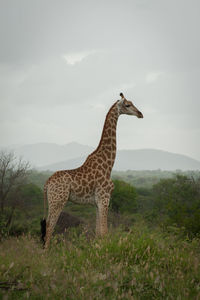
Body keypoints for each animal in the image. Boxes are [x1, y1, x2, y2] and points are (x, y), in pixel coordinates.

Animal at [41, 93, 143, 248]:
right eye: (127, 105)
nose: (140, 114)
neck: (108, 165)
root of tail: (47, 184)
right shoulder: (104, 198)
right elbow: (105, 232)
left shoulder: (97, 202)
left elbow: (98, 232)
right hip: (57, 201)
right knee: (49, 228)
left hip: (53, 201)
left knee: (47, 227)